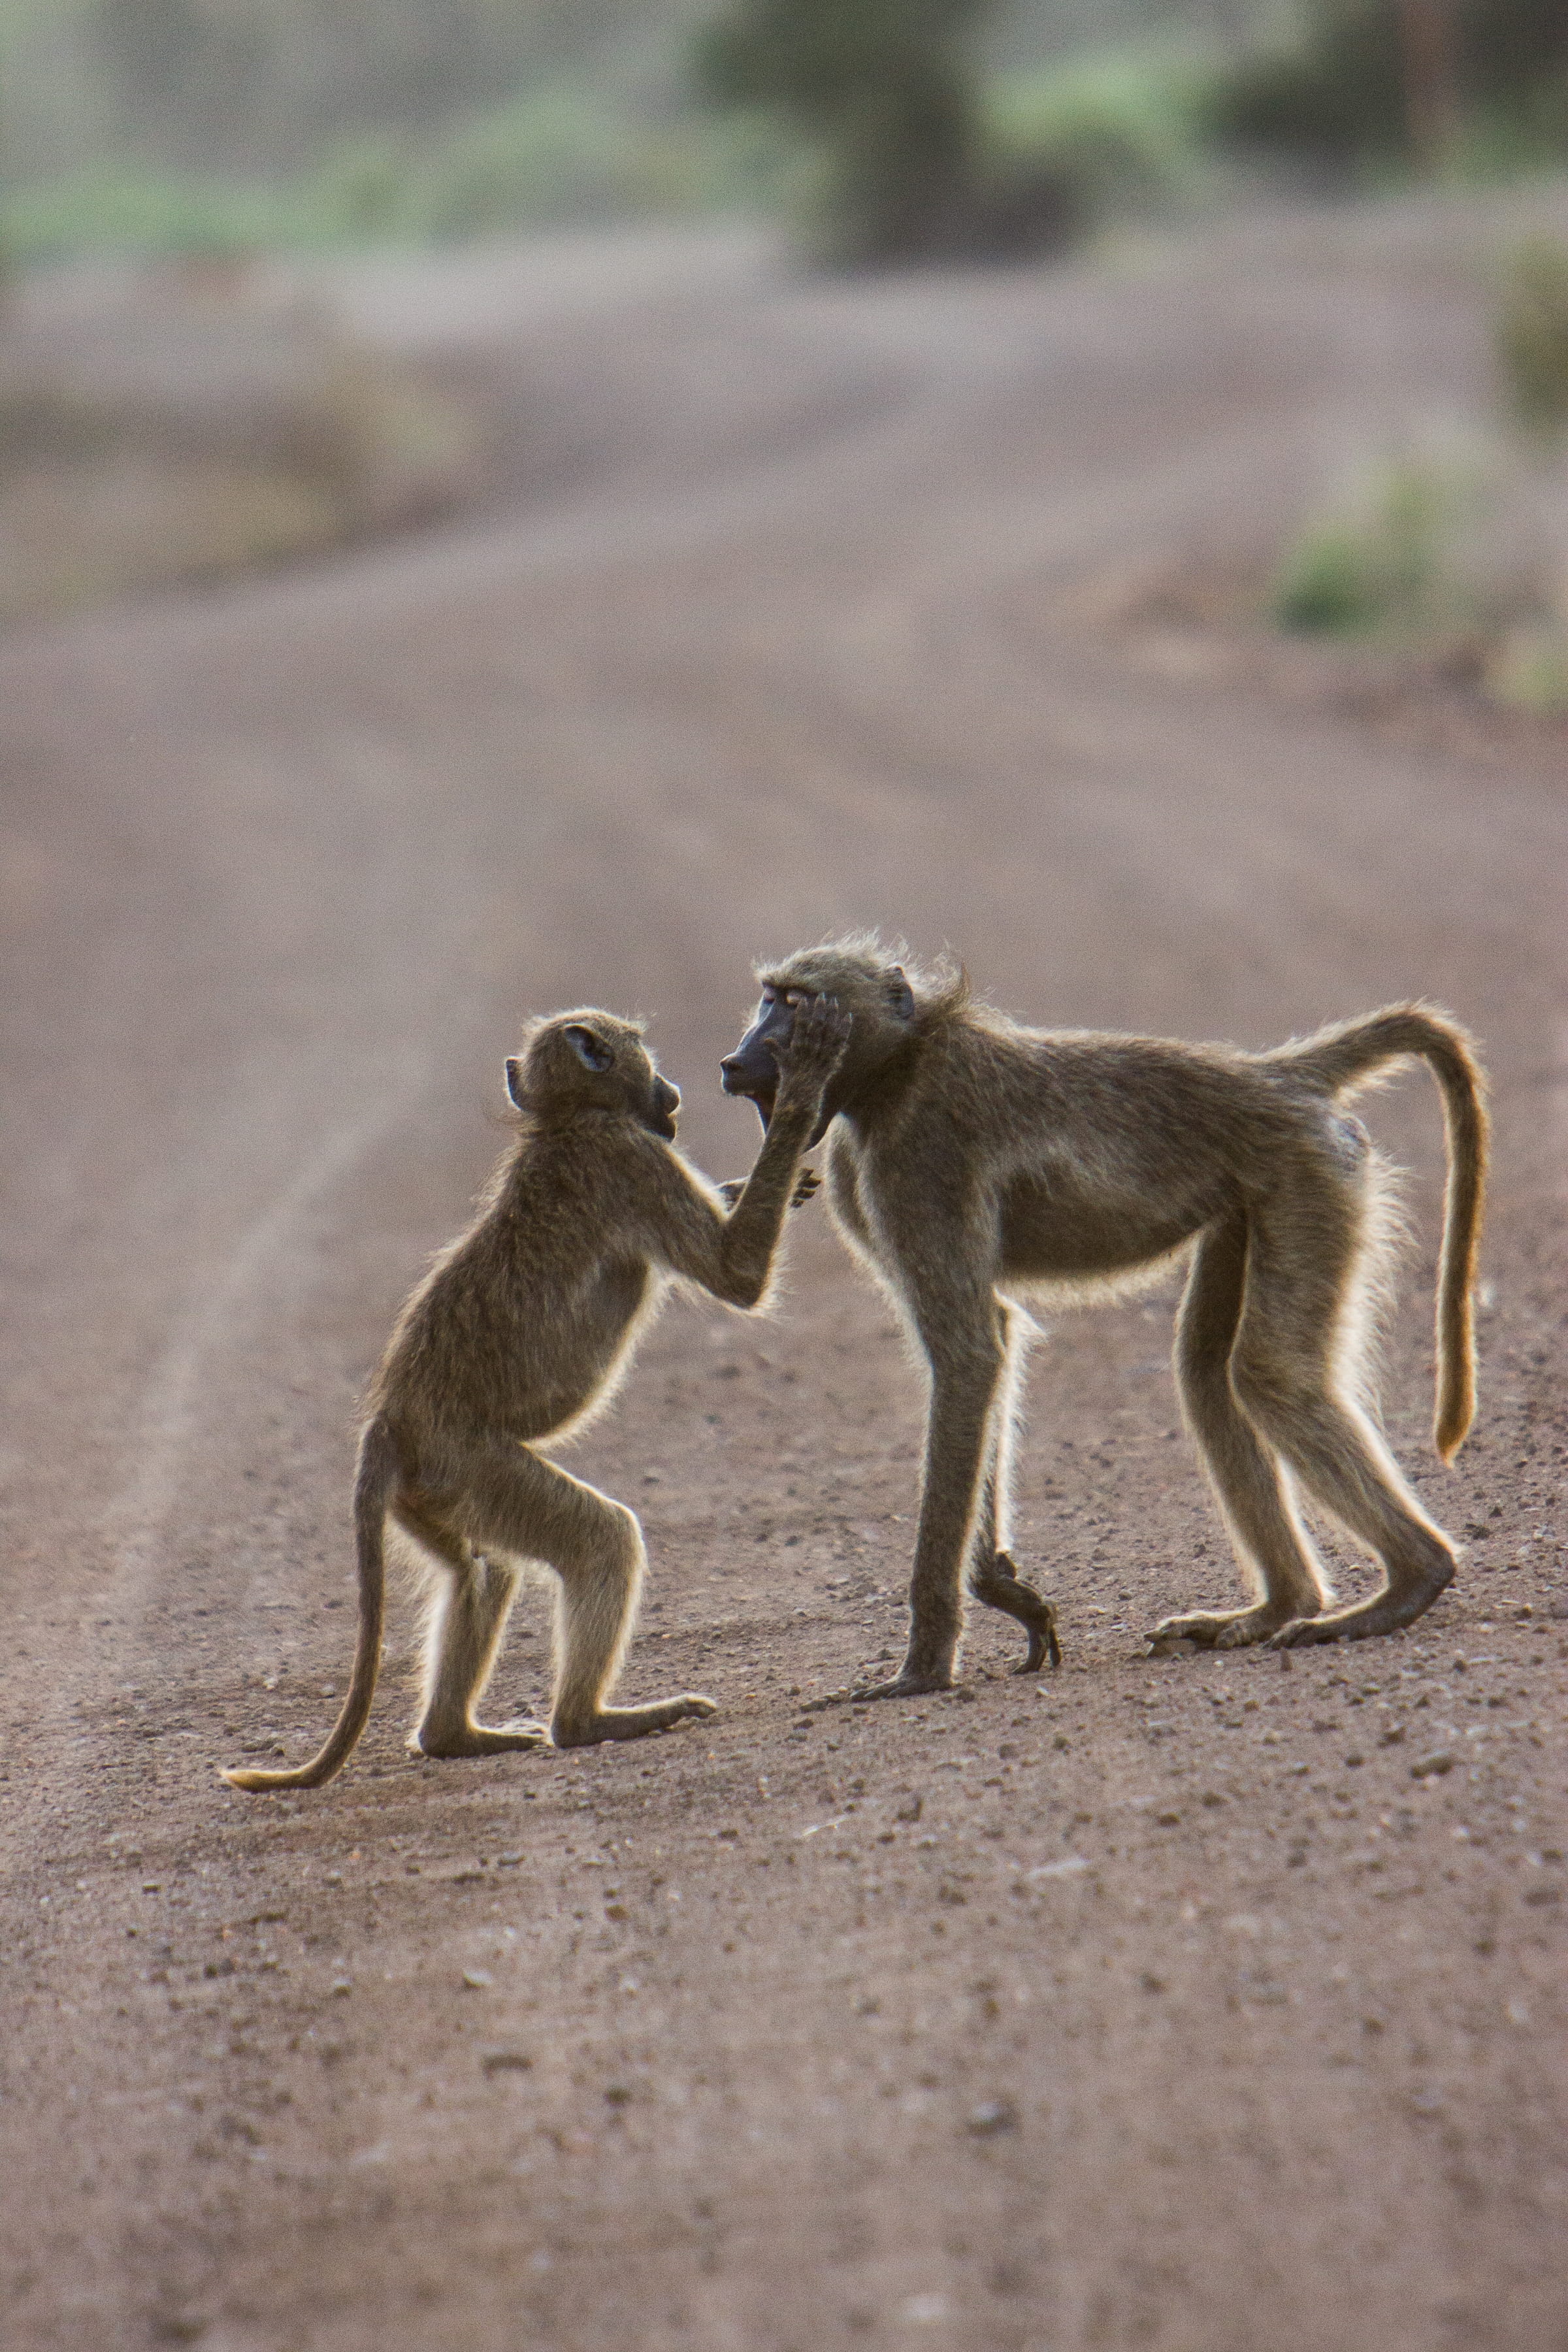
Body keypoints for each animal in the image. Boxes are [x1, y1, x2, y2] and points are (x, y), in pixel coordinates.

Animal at [224, 996, 848, 1792]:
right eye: (642, 1057)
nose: (673, 1091)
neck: (566, 1122)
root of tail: (390, 1419)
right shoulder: (629, 1158)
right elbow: (736, 1274)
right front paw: (804, 1082)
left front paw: (756, 1183)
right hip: (469, 1464)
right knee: (600, 1542)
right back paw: (590, 1722)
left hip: (434, 1492)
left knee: (483, 1572)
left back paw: (453, 1736)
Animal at [720, 939, 1487, 1695]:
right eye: (767, 999)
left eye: (793, 1004)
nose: (734, 1062)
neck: (900, 1063)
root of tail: (1273, 1076)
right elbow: (995, 1336)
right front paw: (1004, 1592)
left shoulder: (919, 1159)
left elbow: (969, 1354)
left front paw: (924, 1667)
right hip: (1258, 1194)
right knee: (1208, 1372)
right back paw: (1281, 1606)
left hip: (1309, 1174)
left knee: (1265, 1375)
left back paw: (1408, 1583)